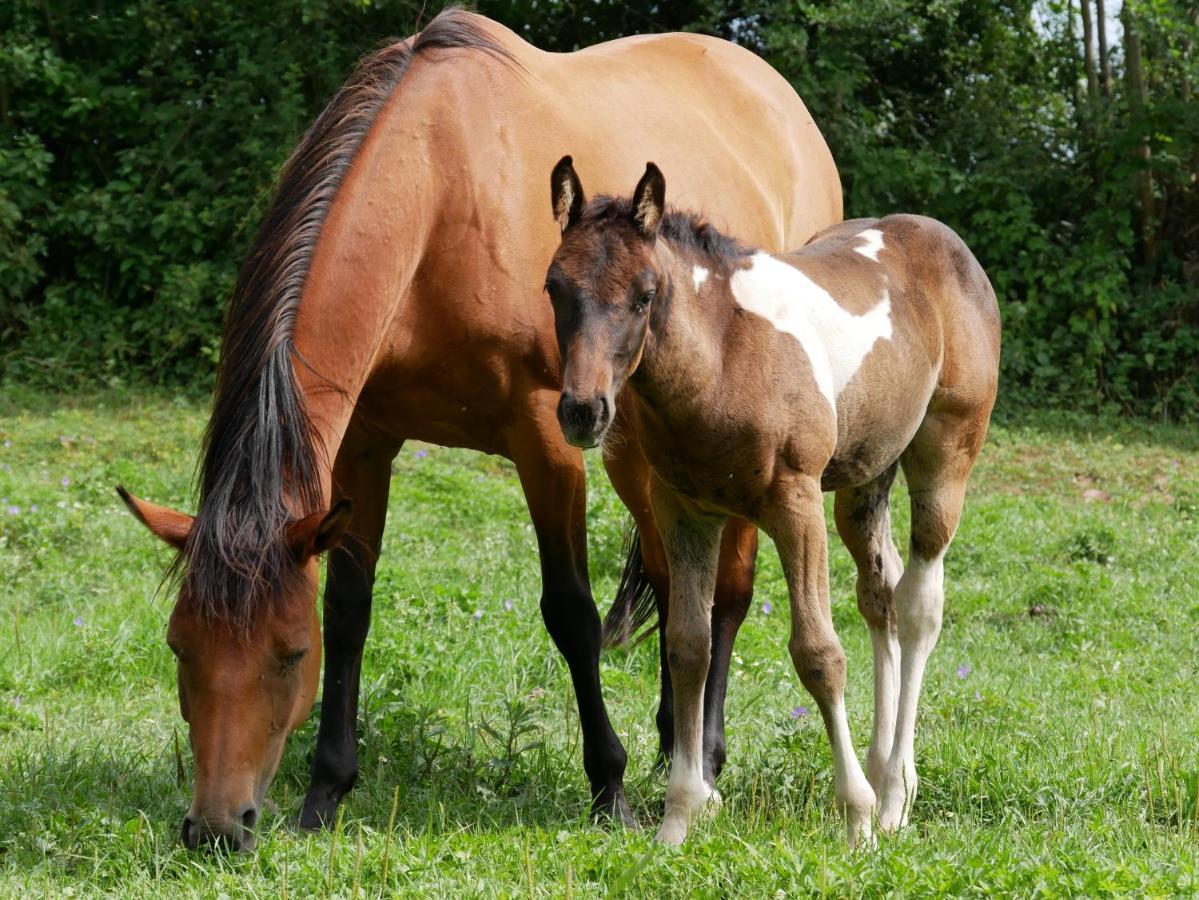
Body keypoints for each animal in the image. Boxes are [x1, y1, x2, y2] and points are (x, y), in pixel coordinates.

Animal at [116, 7, 839, 853]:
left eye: (288, 655)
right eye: (179, 646)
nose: (216, 828)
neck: (439, 201)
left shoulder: (547, 437)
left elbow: (570, 613)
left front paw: (609, 788)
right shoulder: (365, 443)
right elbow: (351, 609)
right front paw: (325, 792)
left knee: (726, 591)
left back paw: (707, 755)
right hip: (639, 446)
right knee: (672, 577)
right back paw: (674, 743)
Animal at [549, 156, 997, 843]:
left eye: (644, 295)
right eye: (553, 288)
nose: (582, 411)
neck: (722, 360)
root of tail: (947, 241)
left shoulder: (795, 503)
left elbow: (818, 653)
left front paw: (856, 818)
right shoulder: (684, 511)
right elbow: (688, 647)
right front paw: (678, 817)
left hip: (944, 459)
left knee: (920, 604)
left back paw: (894, 795)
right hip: (864, 480)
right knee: (881, 594)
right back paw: (881, 770)